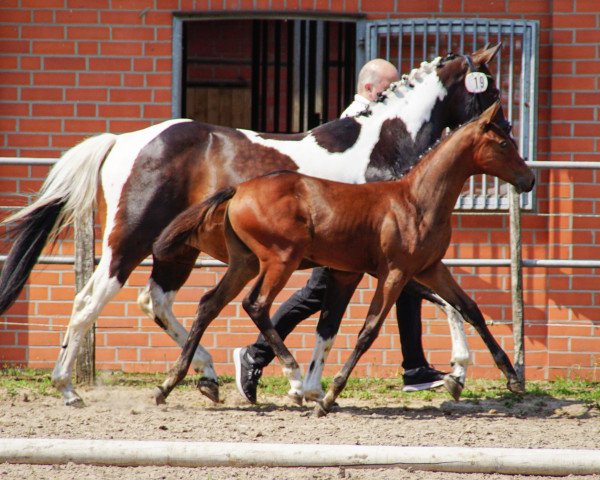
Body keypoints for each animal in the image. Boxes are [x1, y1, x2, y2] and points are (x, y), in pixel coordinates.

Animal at [0, 44, 510, 404]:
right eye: (491, 95)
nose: (507, 135)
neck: (381, 146)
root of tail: (122, 141)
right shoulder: (385, 260)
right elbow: (436, 300)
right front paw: (456, 370)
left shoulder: (362, 262)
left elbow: (386, 308)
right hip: (128, 242)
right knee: (90, 301)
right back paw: (68, 388)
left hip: (177, 251)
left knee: (158, 300)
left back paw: (208, 377)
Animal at [154, 102, 536, 416]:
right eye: (504, 144)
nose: (529, 179)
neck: (416, 201)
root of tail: (238, 189)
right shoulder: (395, 272)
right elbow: (369, 331)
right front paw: (327, 397)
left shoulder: (430, 268)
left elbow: (470, 309)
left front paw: (512, 378)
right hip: (281, 259)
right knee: (256, 304)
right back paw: (293, 375)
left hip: (244, 263)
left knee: (209, 304)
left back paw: (172, 383)